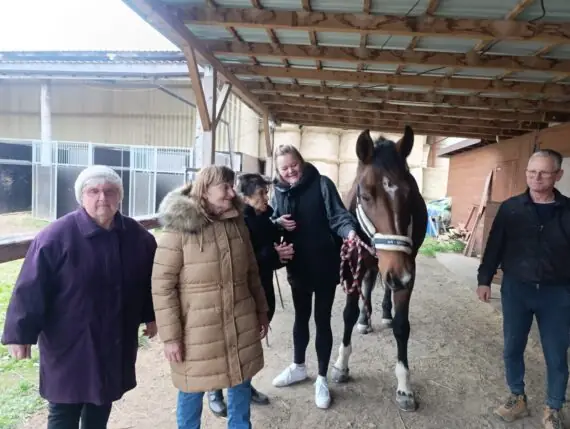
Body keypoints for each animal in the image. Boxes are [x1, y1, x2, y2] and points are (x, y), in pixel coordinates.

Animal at [330, 125, 428, 412]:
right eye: (365, 195)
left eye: (410, 194)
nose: (399, 274)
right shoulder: (353, 263)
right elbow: (348, 314)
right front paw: (341, 364)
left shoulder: (409, 270)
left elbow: (402, 326)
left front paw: (405, 387)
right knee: (370, 282)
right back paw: (365, 320)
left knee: (383, 287)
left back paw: (383, 313)